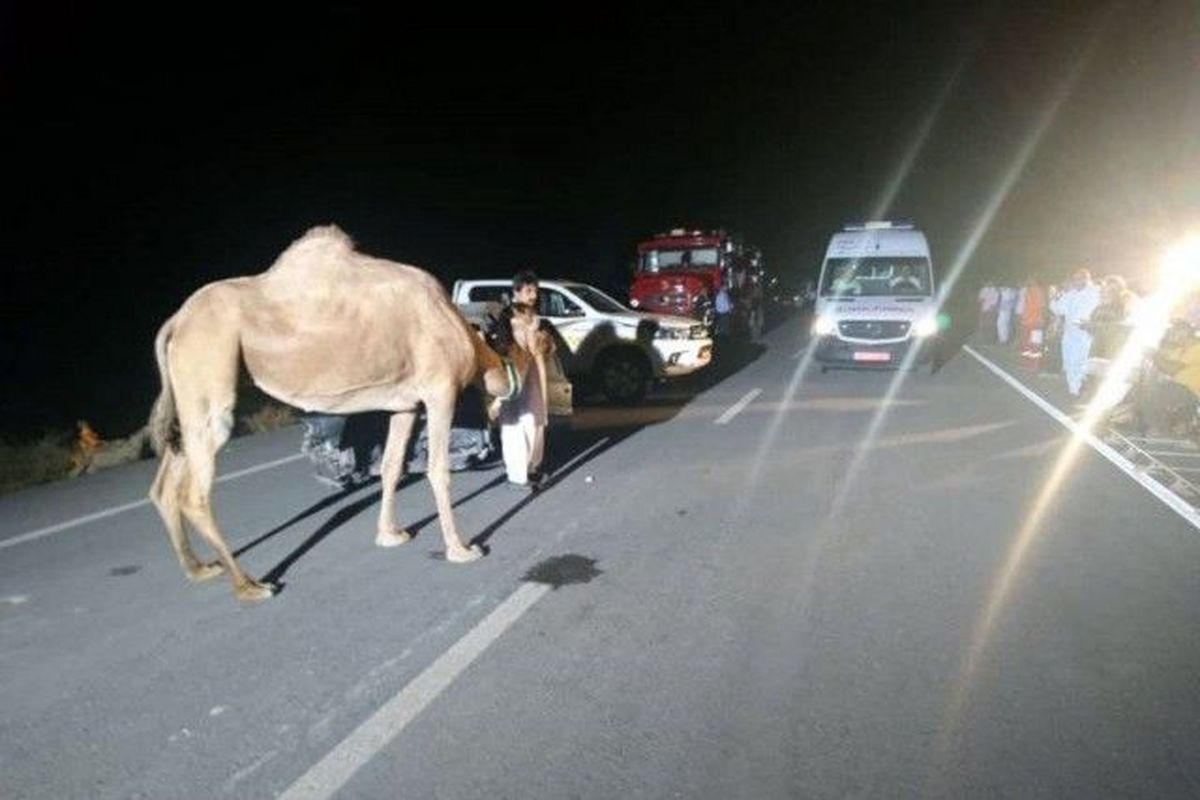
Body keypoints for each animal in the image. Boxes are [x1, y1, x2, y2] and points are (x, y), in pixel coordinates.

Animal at [150, 225, 525, 599]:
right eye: (514, 338)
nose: (522, 375)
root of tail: (176, 322)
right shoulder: (440, 391)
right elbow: (437, 470)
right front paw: (462, 550)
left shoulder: (404, 404)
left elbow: (391, 466)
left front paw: (390, 535)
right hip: (211, 370)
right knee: (194, 494)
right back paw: (250, 586)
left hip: (190, 399)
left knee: (165, 484)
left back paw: (199, 569)